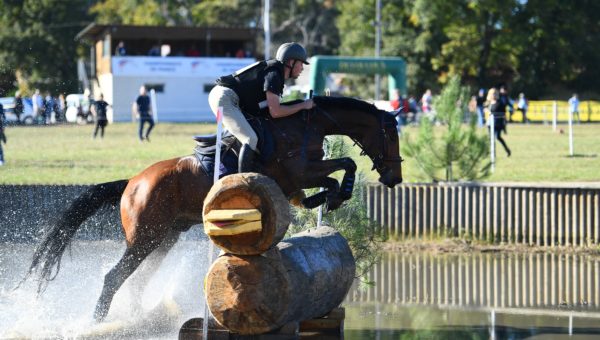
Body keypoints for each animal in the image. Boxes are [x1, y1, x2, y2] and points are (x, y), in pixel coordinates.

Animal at [25, 95, 406, 322]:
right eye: (391, 136)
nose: (395, 179)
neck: (304, 126)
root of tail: (133, 182)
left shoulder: (295, 184)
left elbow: (325, 182)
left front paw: (331, 198)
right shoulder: (300, 172)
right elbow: (345, 164)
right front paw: (341, 193)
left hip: (164, 239)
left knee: (137, 281)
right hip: (144, 238)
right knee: (113, 277)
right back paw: (98, 321)